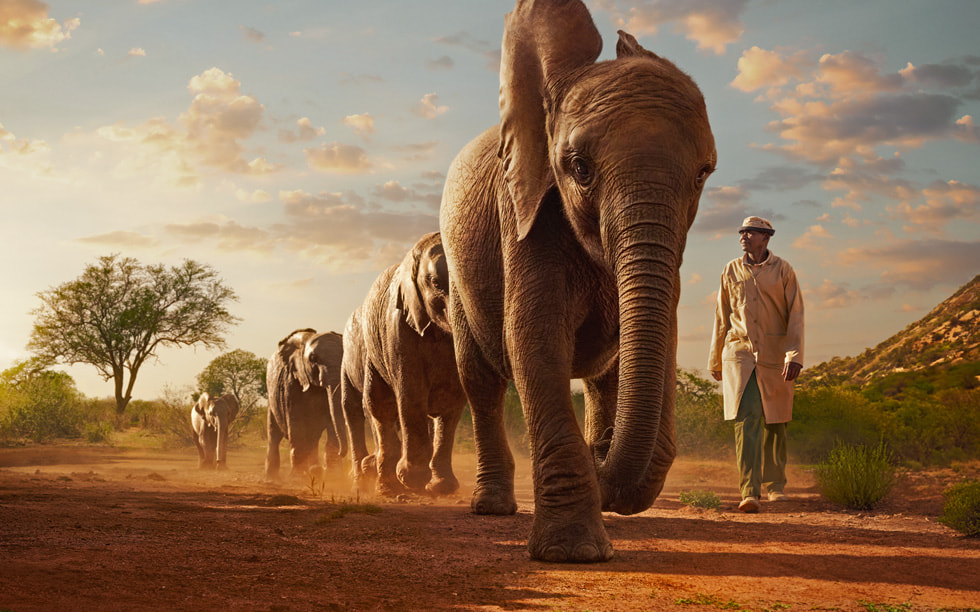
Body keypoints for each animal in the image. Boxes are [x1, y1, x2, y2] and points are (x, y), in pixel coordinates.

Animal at [266, 328, 346, 480]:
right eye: (313, 359)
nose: (341, 453)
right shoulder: (291, 383)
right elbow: (296, 424)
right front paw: (296, 477)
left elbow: (332, 422)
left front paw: (333, 475)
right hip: (272, 400)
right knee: (274, 435)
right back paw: (271, 478)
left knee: (312, 439)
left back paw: (314, 470)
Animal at [340, 231, 468, 498]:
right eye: (436, 283)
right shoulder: (398, 326)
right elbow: (411, 392)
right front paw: (412, 479)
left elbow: (453, 402)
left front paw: (442, 488)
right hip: (368, 354)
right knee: (375, 406)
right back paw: (383, 485)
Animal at [440, 0, 716, 560]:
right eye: (579, 168)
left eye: (704, 174)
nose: (602, 450)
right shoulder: (521, 210)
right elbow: (534, 338)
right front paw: (573, 552)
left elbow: (665, 339)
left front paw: (605, 473)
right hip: (458, 278)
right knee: (480, 381)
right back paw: (494, 507)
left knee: (603, 375)